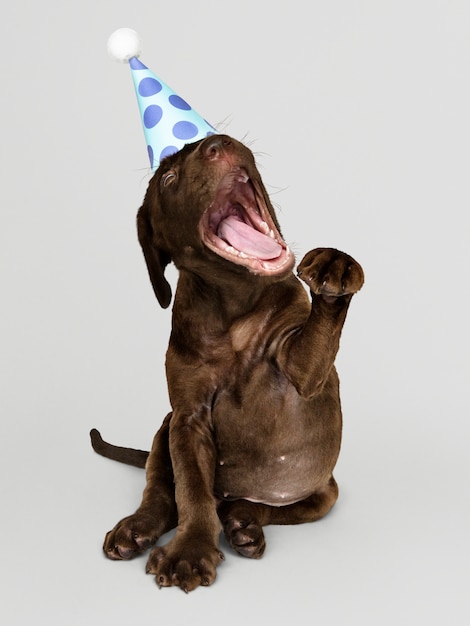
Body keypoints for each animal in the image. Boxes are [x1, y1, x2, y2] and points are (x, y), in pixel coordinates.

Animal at [90, 133, 366, 588]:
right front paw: (190, 549)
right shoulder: (188, 417)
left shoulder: (302, 371)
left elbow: (317, 338)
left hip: (325, 491)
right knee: (160, 489)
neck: (235, 304)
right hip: (164, 428)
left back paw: (243, 523)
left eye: (212, 137)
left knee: (273, 508)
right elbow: (191, 489)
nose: (217, 144)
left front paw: (334, 264)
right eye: (169, 178)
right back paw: (138, 528)